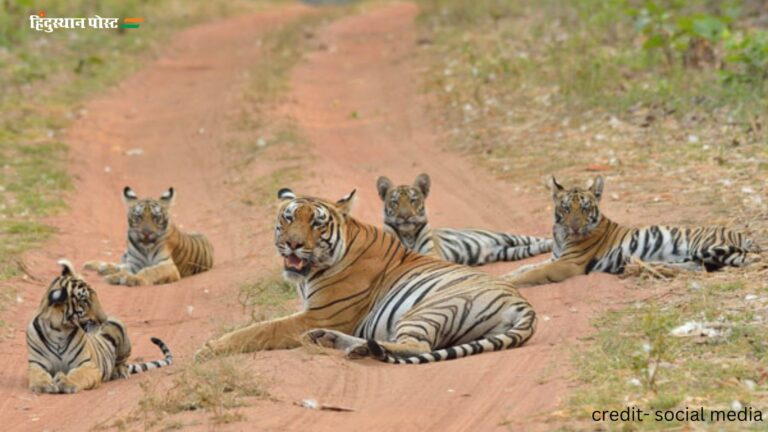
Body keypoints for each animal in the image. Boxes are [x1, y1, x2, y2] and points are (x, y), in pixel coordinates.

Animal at [27, 260, 172, 394]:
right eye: (85, 301)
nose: (104, 319)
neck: (58, 330)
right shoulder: (36, 364)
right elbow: (37, 375)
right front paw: (44, 385)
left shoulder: (87, 365)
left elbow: (79, 375)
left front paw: (65, 382)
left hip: (119, 329)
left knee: (122, 363)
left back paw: (119, 371)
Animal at [83, 186, 213, 286]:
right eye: (138, 217)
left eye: (156, 217)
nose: (146, 233)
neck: (146, 249)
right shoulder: (133, 263)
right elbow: (125, 269)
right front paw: (115, 277)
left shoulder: (167, 265)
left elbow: (150, 271)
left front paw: (133, 279)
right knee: (120, 264)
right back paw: (97, 266)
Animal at [195, 187, 536, 362]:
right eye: (289, 218)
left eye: (317, 223)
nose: (293, 244)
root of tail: (524, 306)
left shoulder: (318, 314)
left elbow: (259, 329)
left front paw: (209, 348)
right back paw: (341, 343)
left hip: (430, 309)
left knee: (418, 346)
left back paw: (360, 348)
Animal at [376, 174, 552, 264]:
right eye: (395, 202)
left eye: (413, 200)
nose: (405, 216)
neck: (408, 235)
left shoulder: (432, 253)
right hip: (507, 252)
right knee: (531, 247)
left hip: (509, 236)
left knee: (537, 238)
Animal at [500, 174, 760, 288]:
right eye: (566, 208)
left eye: (584, 208)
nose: (574, 226)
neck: (561, 237)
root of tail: (743, 235)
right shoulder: (556, 258)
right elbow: (526, 267)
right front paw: (504, 275)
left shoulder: (567, 264)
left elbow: (532, 273)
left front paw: (509, 282)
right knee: (694, 267)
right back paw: (645, 269)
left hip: (703, 245)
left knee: (707, 266)